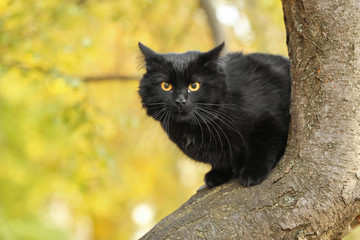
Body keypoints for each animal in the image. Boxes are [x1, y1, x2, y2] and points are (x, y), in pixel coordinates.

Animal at [137, 42, 290, 188]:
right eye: (166, 85)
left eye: (194, 86)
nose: (180, 101)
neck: (194, 129)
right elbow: (221, 160)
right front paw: (217, 174)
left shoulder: (268, 120)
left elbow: (264, 148)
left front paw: (253, 172)